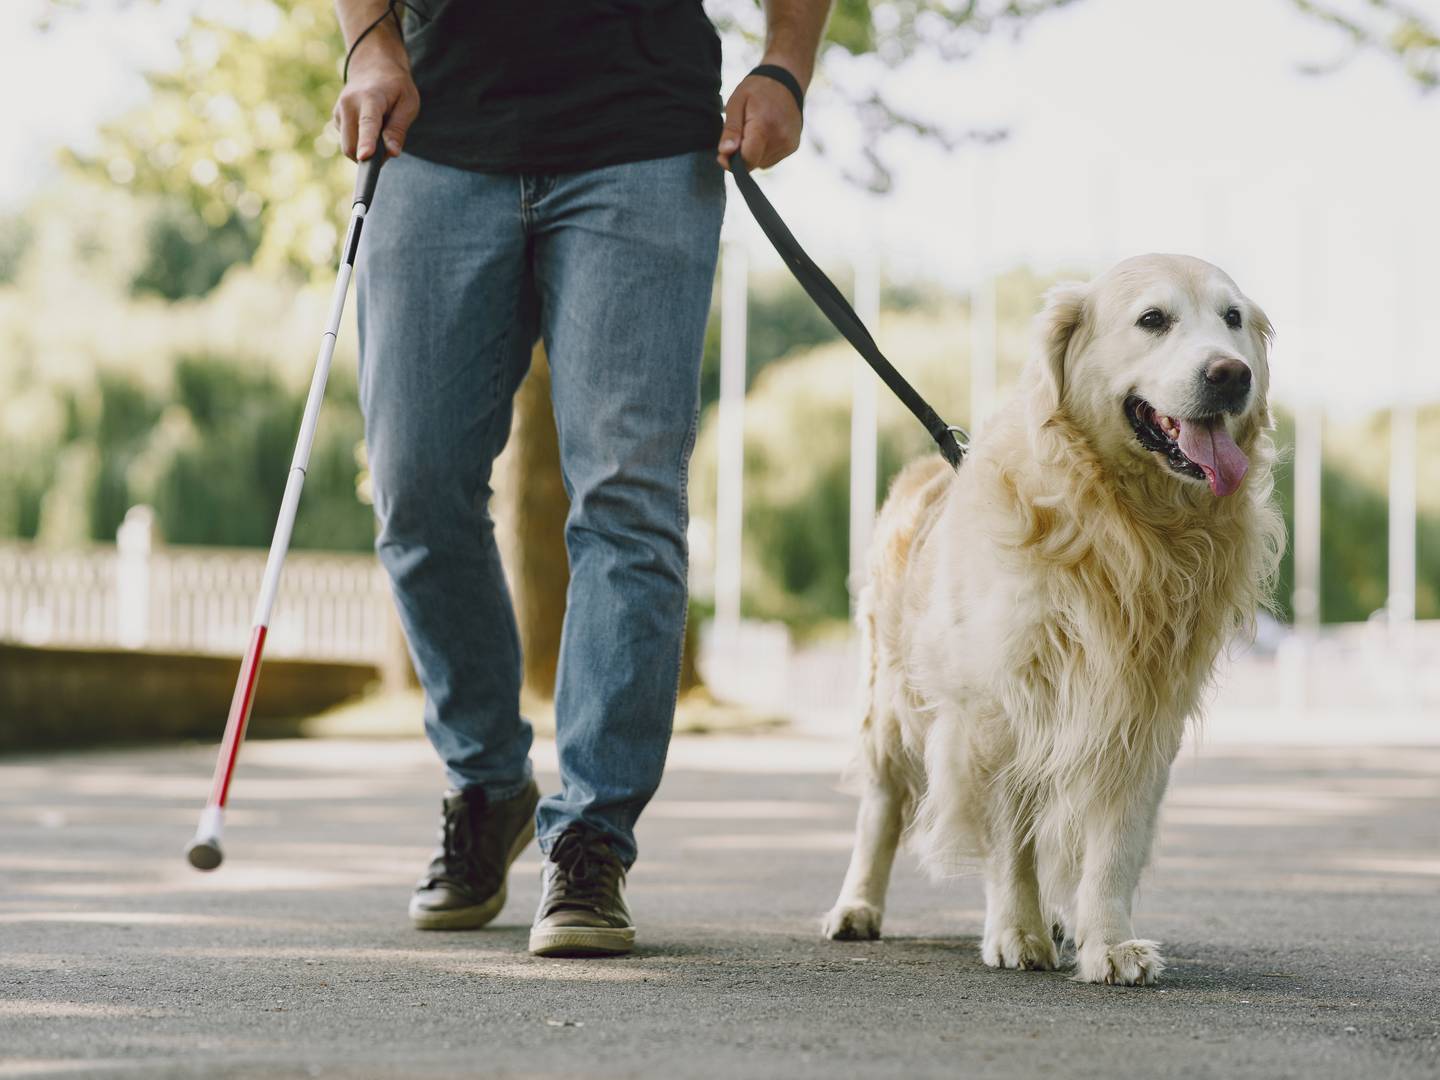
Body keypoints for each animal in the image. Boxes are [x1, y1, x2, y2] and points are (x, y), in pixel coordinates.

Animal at [823, 256, 1284, 990]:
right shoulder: (998, 709)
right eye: (1153, 319)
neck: (1121, 523)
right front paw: (1016, 932)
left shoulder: (1141, 714)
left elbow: (1113, 847)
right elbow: (1009, 841)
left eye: (1233, 318)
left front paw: (1109, 942)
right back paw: (857, 907)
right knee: (881, 806)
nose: (1231, 374)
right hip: (891, 704)